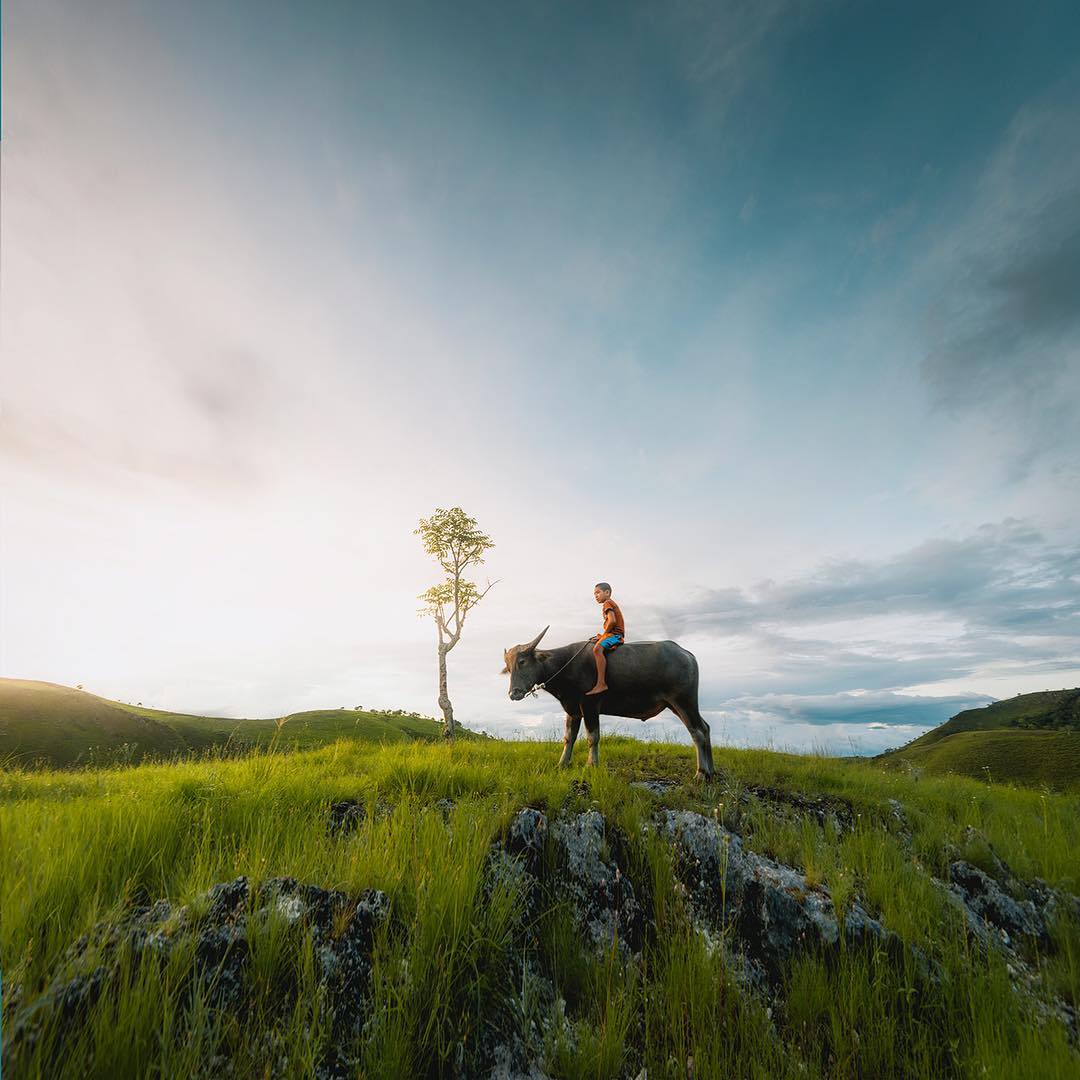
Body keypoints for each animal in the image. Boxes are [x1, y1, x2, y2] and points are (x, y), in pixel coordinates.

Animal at [501, 630, 712, 781]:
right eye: (509, 668)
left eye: (522, 662)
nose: (514, 693)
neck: (565, 664)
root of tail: (687, 654)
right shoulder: (573, 710)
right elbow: (569, 738)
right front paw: (562, 764)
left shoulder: (590, 705)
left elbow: (592, 736)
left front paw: (591, 764)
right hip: (677, 705)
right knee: (705, 727)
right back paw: (711, 771)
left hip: (684, 701)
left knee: (697, 732)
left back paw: (701, 773)